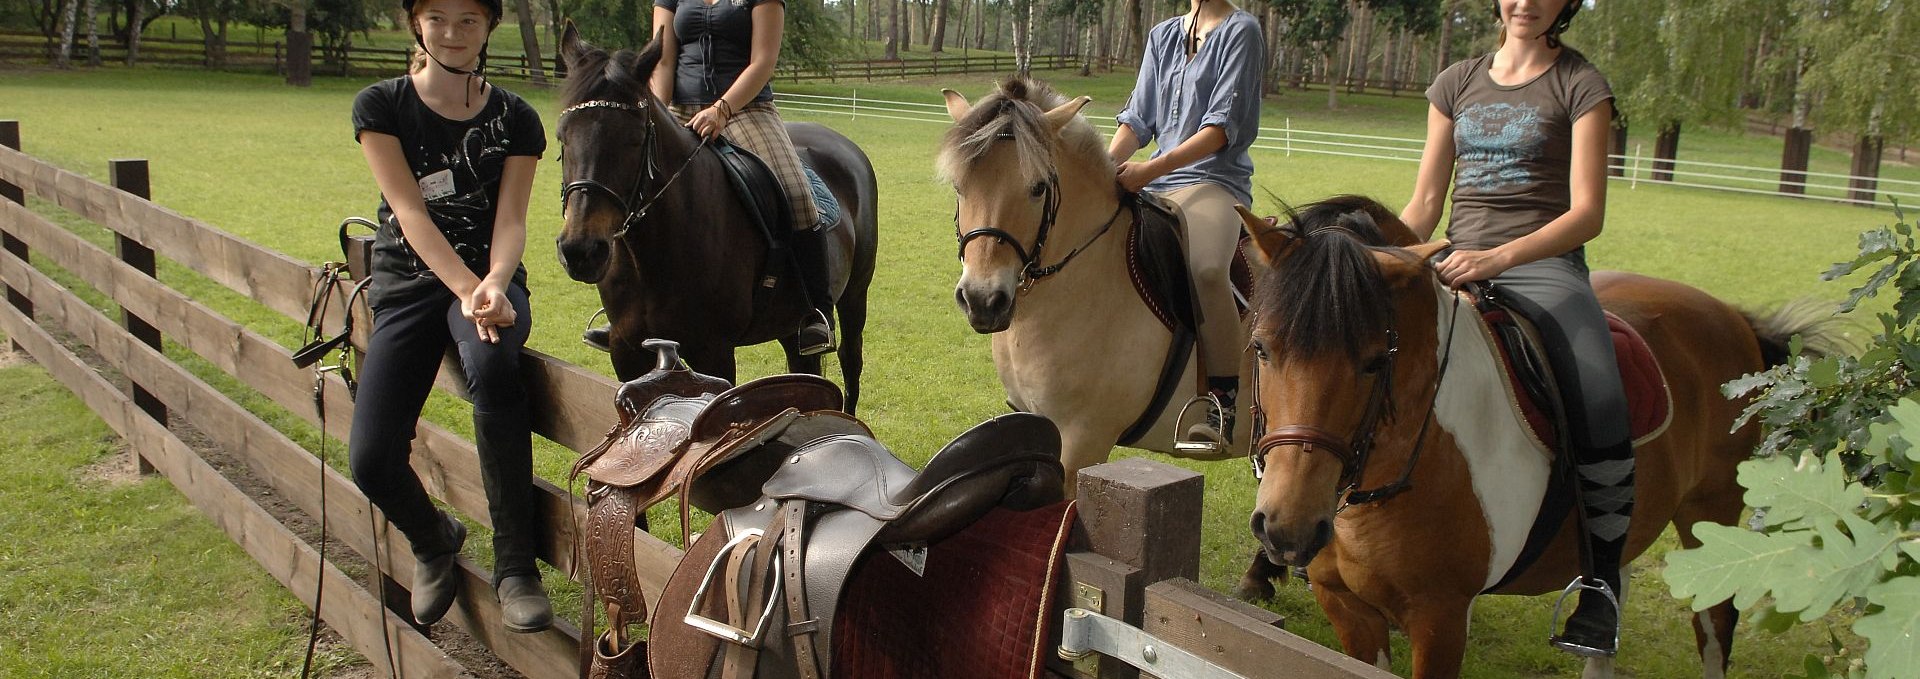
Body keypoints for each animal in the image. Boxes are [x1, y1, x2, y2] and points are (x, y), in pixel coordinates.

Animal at [556, 27, 879, 408]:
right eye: (562, 136)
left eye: (634, 139)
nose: (581, 251)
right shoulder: (626, 350)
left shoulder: (713, 351)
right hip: (790, 322)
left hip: (855, 294)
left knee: (851, 360)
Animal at [1236, 196, 1835, 679]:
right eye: (1262, 347)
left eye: (1375, 360)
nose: (1289, 527)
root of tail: (1732, 315)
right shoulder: (1347, 608)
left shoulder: (1441, 618)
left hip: (1712, 510)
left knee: (1714, 624)